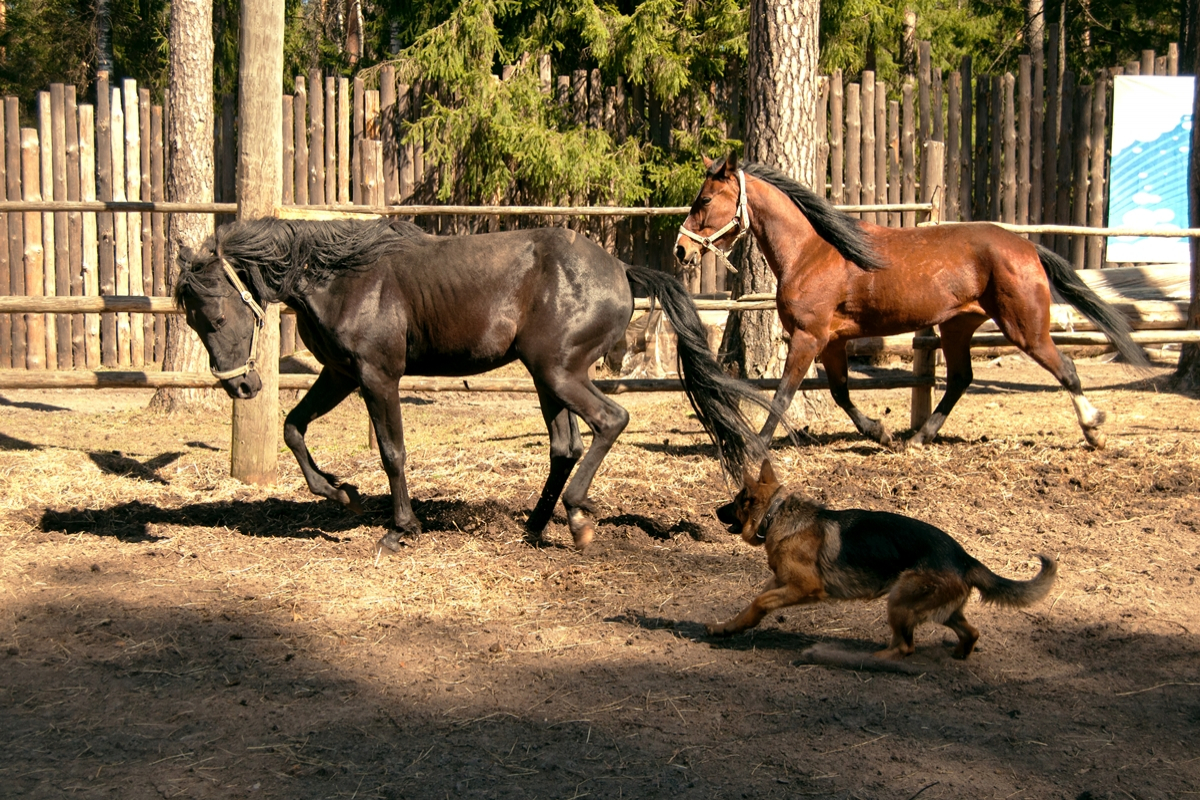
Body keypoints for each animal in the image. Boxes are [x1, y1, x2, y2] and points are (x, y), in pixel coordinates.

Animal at [174, 219, 763, 554]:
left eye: (215, 317)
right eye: (192, 321)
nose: (241, 386)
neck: (344, 276)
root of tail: (620, 268)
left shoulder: (377, 377)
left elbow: (392, 452)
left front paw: (400, 529)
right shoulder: (340, 374)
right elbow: (294, 428)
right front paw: (340, 492)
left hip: (559, 372)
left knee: (609, 422)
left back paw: (576, 518)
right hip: (547, 377)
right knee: (565, 445)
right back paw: (534, 528)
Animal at [676, 153, 1142, 448]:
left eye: (705, 200)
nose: (681, 250)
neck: (811, 250)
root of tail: (1027, 248)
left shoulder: (809, 337)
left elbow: (783, 394)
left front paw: (757, 446)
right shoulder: (833, 341)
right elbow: (841, 393)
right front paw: (880, 434)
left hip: (1024, 328)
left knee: (1067, 370)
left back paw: (1095, 430)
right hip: (956, 327)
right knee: (960, 379)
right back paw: (917, 438)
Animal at [705, 460, 1056, 662]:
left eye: (734, 502)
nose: (715, 511)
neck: (775, 514)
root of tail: (964, 557)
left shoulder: (804, 587)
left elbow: (760, 601)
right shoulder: (781, 581)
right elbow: (751, 604)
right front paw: (727, 627)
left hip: (898, 600)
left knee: (905, 648)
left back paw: (869, 658)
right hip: (938, 609)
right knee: (970, 632)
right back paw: (958, 654)